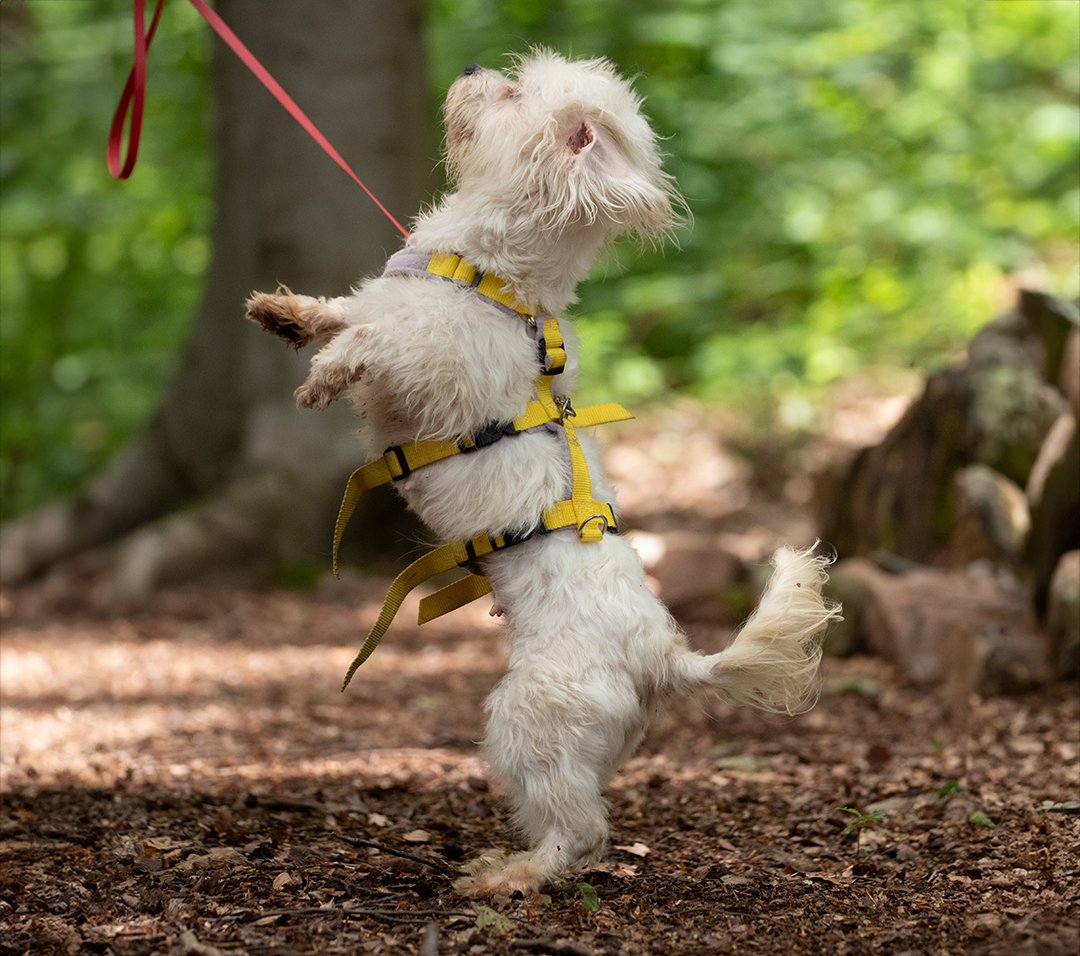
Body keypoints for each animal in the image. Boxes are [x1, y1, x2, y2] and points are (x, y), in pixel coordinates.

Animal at [246, 50, 840, 898]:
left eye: (514, 90)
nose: (470, 63)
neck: (491, 273)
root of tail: (666, 660)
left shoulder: (429, 363)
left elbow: (377, 342)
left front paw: (324, 373)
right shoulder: (389, 304)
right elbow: (352, 310)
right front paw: (288, 313)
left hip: (529, 719)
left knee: (581, 833)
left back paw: (509, 877)